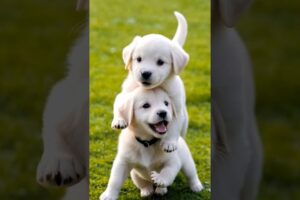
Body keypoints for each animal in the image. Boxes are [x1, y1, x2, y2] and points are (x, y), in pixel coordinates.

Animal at [112, 11, 190, 152]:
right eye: (138, 59)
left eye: (160, 62)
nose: (145, 73)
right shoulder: (125, 94)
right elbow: (119, 105)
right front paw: (119, 120)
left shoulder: (176, 107)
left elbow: (173, 126)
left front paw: (169, 143)